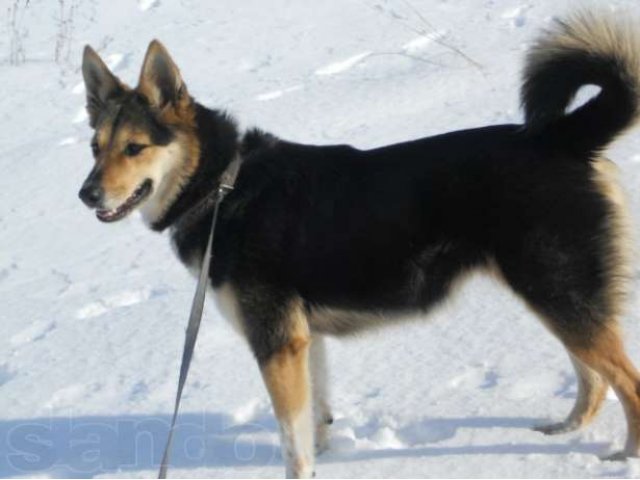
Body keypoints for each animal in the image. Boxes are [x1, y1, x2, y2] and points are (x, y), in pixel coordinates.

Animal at [79, 10, 640, 476]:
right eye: (94, 147)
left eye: (135, 148)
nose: (85, 195)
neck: (225, 186)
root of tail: (561, 137)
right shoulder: (304, 338)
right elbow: (315, 421)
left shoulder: (276, 342)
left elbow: (293, 442)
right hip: (556, 294)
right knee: (593, 379)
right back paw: (564, 430)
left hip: (558, 289)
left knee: (626, 383)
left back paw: (625, 456)